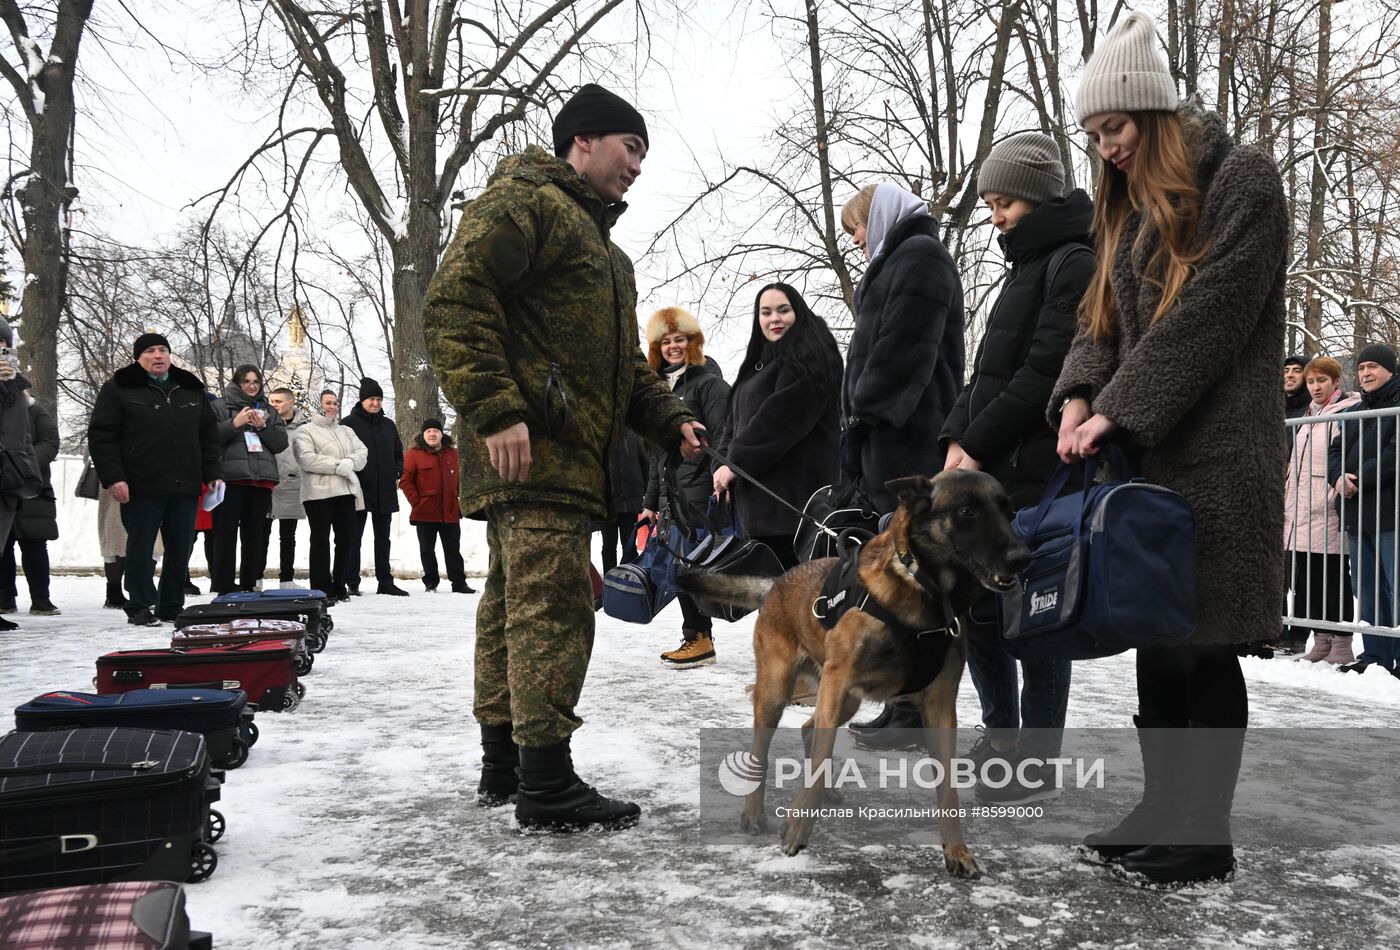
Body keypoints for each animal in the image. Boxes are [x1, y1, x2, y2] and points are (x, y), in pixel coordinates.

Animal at [677, 472, 1030, 878]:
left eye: (1008, 511)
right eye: (967, 511)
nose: (1022, 558)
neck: (922, 590)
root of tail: (779, 580)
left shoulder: (940, 706)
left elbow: (948, 790)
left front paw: (956, 851)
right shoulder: (838, 680)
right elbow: (816, 760)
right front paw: (797, 827)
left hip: (845, 699)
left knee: (809, 729)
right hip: (781, 692)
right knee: (763, 753)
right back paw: (753, 814)